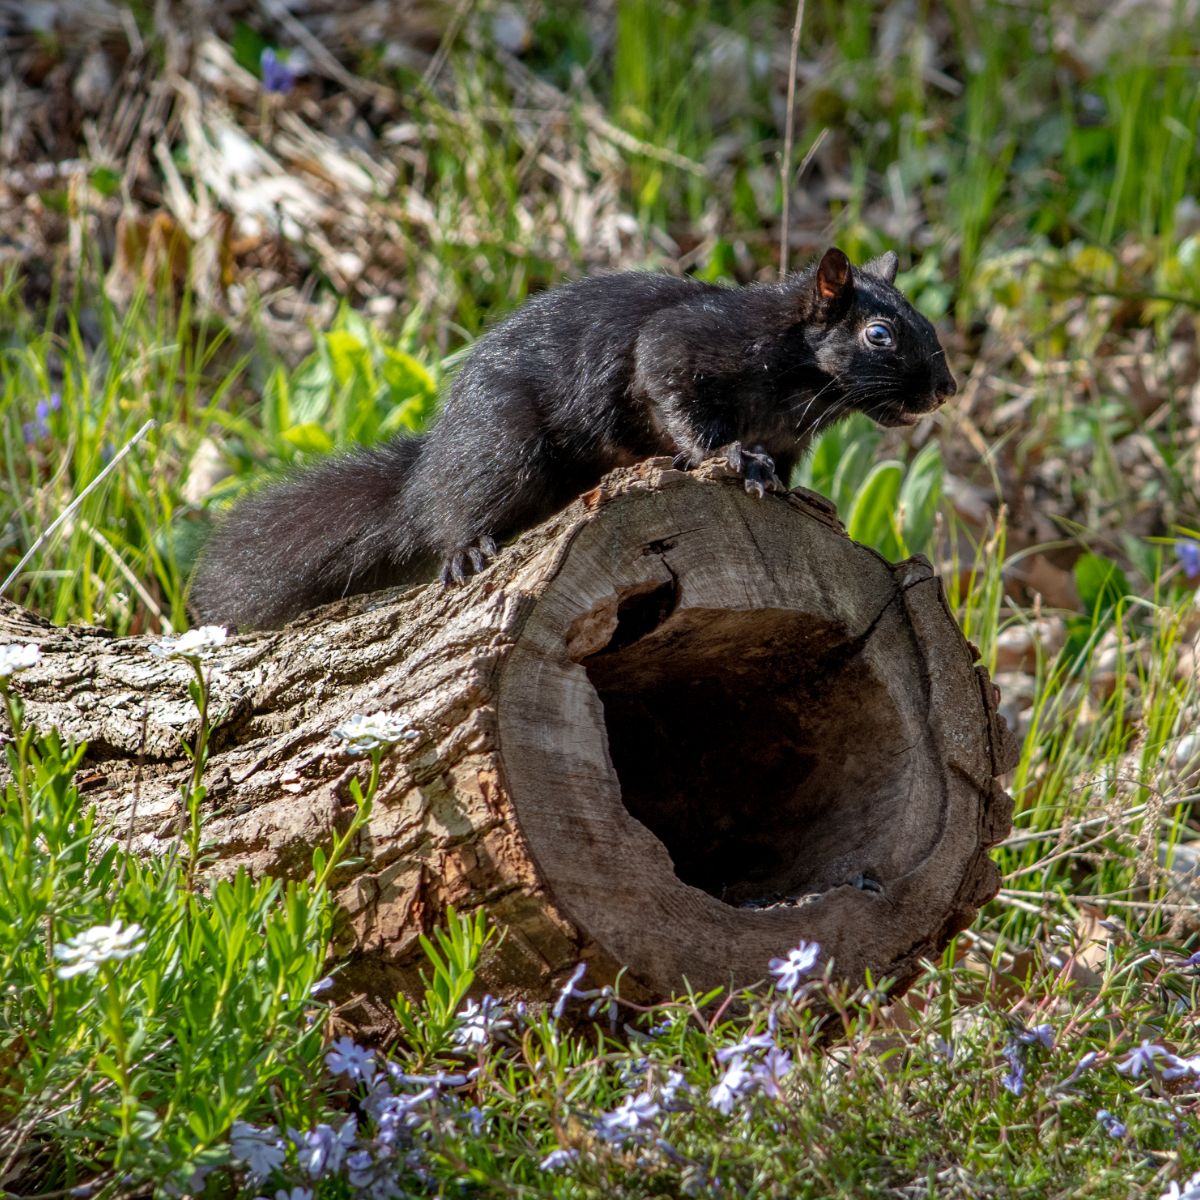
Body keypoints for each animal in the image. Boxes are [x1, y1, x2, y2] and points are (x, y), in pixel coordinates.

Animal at [187, 249, 955, 633]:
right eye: (879, 335)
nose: (945, 390)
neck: (797, 375)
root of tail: (425, 468)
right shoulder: (683, 348)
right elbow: (679, 399)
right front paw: (729, 457)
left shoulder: (790, 435)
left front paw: (808, 499)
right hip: (504, 449)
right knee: (456, 508)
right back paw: (466, 547)